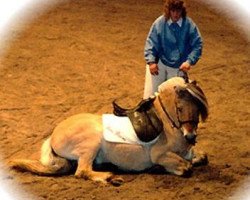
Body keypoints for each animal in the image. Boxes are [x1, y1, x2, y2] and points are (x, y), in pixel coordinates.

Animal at [8, 77, 209, 186]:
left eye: (198, 108)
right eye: (180, 108)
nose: (190, 136)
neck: (165, 122)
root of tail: (53, 136)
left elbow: (200, 157)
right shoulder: (159, 155)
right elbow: (185, 166)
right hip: (92, 143)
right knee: (82, 171)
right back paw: (109, 176)